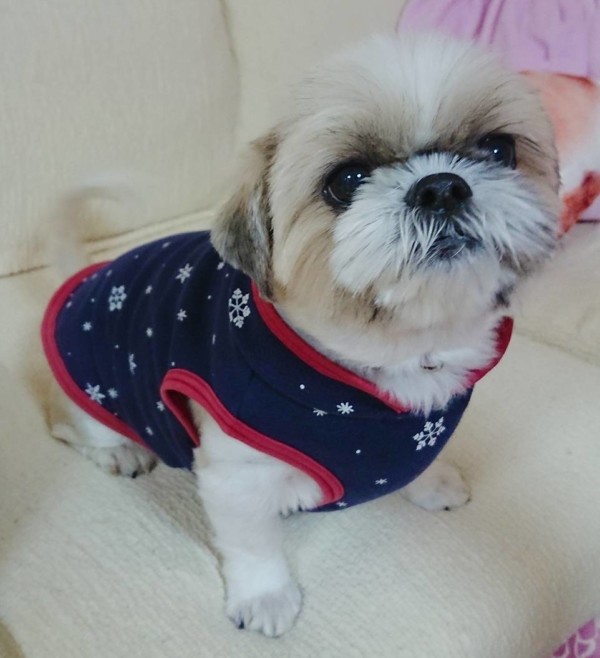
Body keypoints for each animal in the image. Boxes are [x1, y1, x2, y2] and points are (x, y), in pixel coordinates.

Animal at [42, 33, 560, 637]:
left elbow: (424, 462)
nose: (441, 187)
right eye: (346, 180)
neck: (395, 357)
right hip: (88, 381)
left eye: (499, 149)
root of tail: (84, 277)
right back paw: (119, 451)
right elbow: (252, 545)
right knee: (74, 428)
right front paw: (265, 596)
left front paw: (433, 485)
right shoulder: (236, 480)